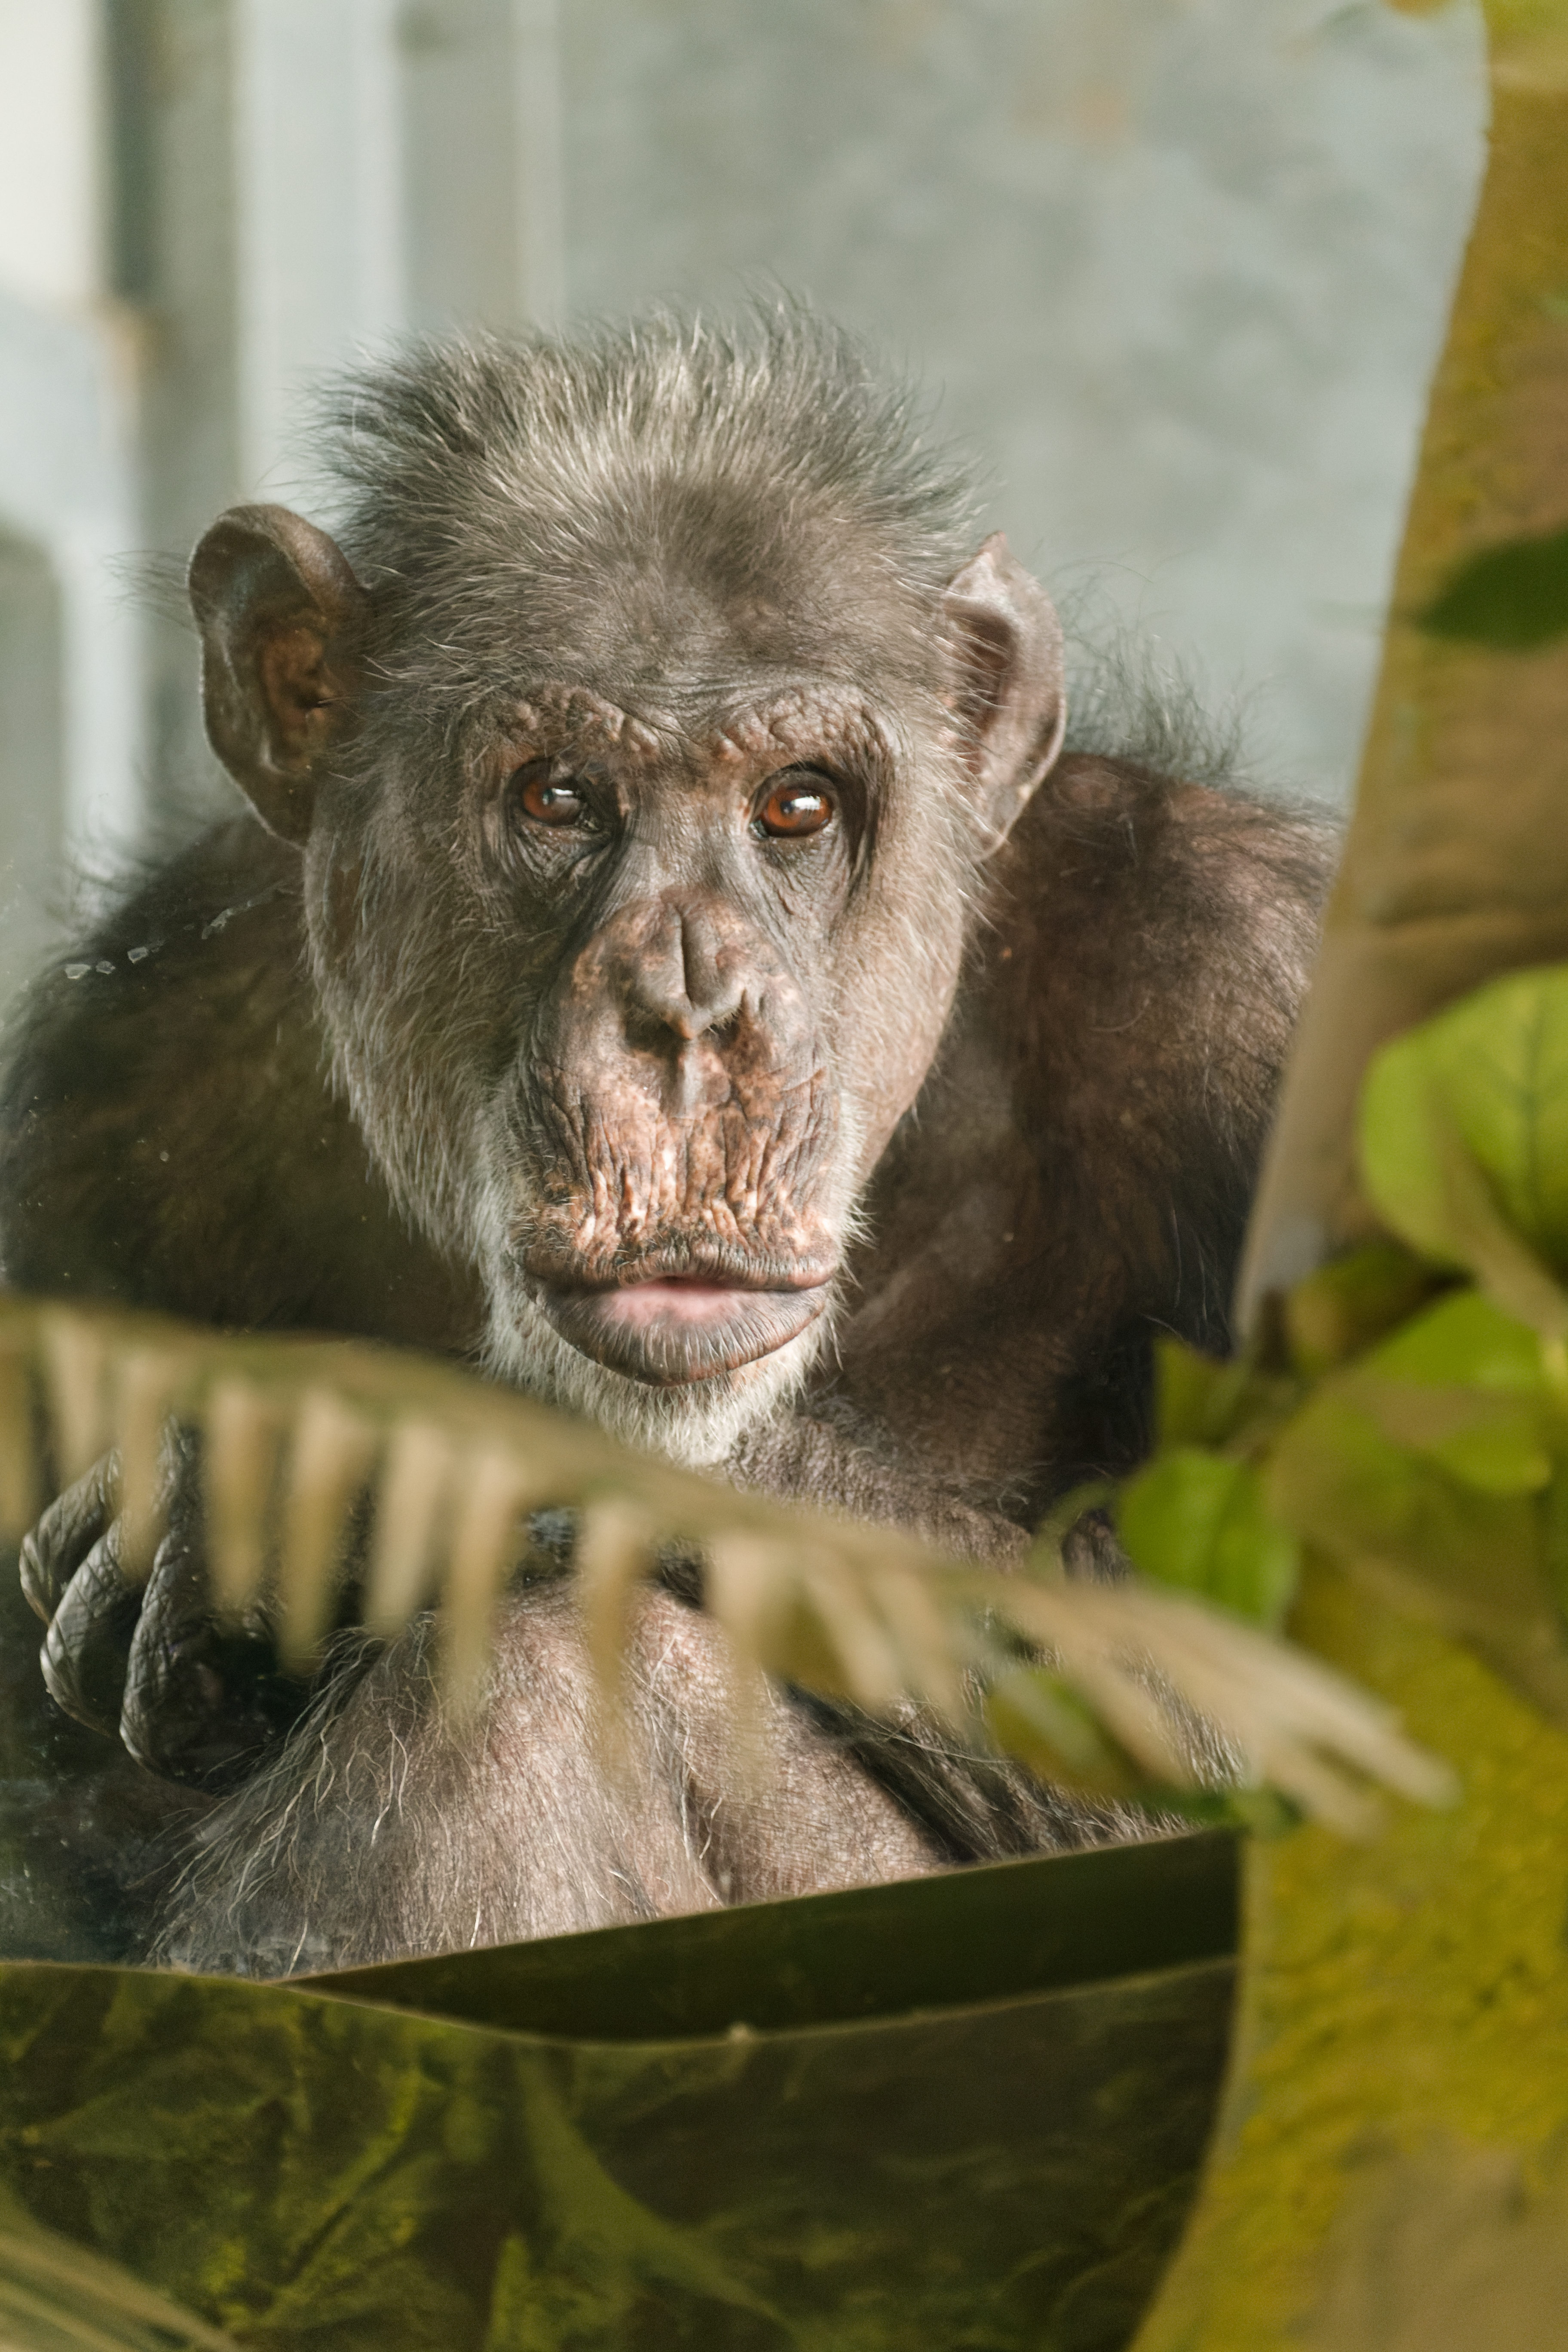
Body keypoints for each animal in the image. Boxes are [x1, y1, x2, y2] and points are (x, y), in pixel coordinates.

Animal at [0, 309, 1333, 1974]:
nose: (689, 1010)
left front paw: (368, 1448)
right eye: (559, 795)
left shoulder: (1262, 998)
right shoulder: (103, 1094)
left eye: (796, 805)